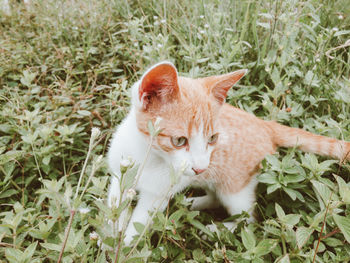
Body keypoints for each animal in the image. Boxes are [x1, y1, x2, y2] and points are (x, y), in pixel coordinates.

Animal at [107, 61, 350, 245]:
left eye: (212, 138)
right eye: (179, 141)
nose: (199, 167)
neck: (148, 157)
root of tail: (265, 124)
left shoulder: (156, 195)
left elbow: (138, 221)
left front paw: (122, 245)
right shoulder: (119, 175)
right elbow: (114, 206)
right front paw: (109, 235)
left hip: (235, 187)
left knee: (248, 219)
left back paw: (218, 229)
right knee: (215, 196)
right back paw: (190, 204)